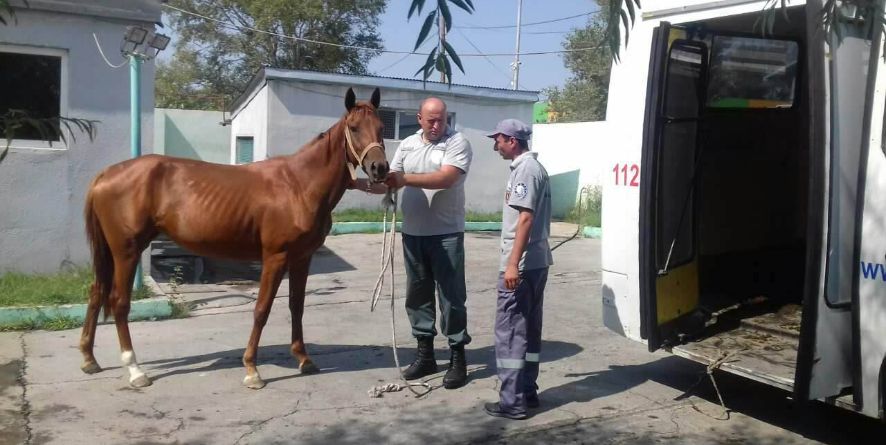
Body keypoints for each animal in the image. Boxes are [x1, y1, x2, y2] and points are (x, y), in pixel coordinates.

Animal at [80, 88, 388, 386]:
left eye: (381, 127)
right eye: (354, 127)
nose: (380, 168)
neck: (299, 185)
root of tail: (107, 174)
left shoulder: (302, 257)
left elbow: (297, 306)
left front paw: (303, 359)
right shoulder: (276, 258)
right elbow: (262, 309)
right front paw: (252, 369)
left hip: (111, 251)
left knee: (96, 292)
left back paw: (89, 359)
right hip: (127, 251)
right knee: (119, 302)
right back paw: (135, 371)